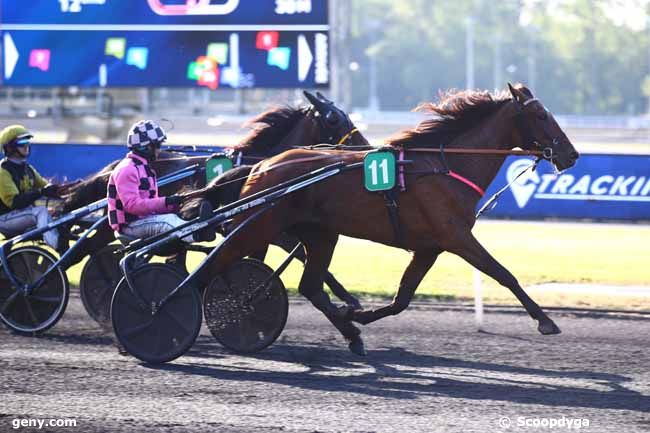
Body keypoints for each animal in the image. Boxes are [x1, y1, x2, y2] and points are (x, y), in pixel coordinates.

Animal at [59, 91, 370, 308]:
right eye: (333, 118)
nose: (365, 145)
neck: (265, 165)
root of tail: (114, 167)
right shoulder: (274, 229)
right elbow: (304, 255)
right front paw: (346, 297)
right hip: (110, 224)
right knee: (81, 251)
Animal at [196, 83, 576, 354]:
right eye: (540, 115)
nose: (572, 155)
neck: (444, 167)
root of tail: (260, 165)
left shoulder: (429, 248)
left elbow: (401, 299)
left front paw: (359, 314)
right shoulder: (457, 238)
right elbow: (503, 273)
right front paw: (545, 321)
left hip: (317, 234)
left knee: (309, 286)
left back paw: (351, 334)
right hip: (259, 227)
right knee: (215, 268)